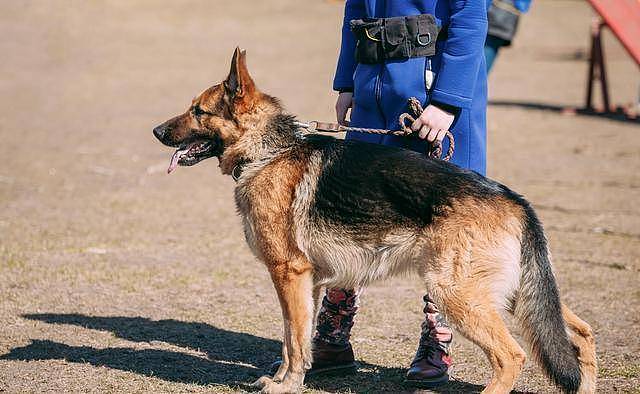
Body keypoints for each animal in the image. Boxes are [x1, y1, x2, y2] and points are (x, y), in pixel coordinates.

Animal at [152, 49, 596, 394]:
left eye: (198, 111)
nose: (156, 131)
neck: (270, 150)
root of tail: (514, 200)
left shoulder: (288, 273)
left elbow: (293, 340)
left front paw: (286, 385)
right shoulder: (307, 281)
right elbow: (296, 338)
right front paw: (287, 378)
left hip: (457, 292)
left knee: (512, 356)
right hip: (519, 296)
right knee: (579, 334)